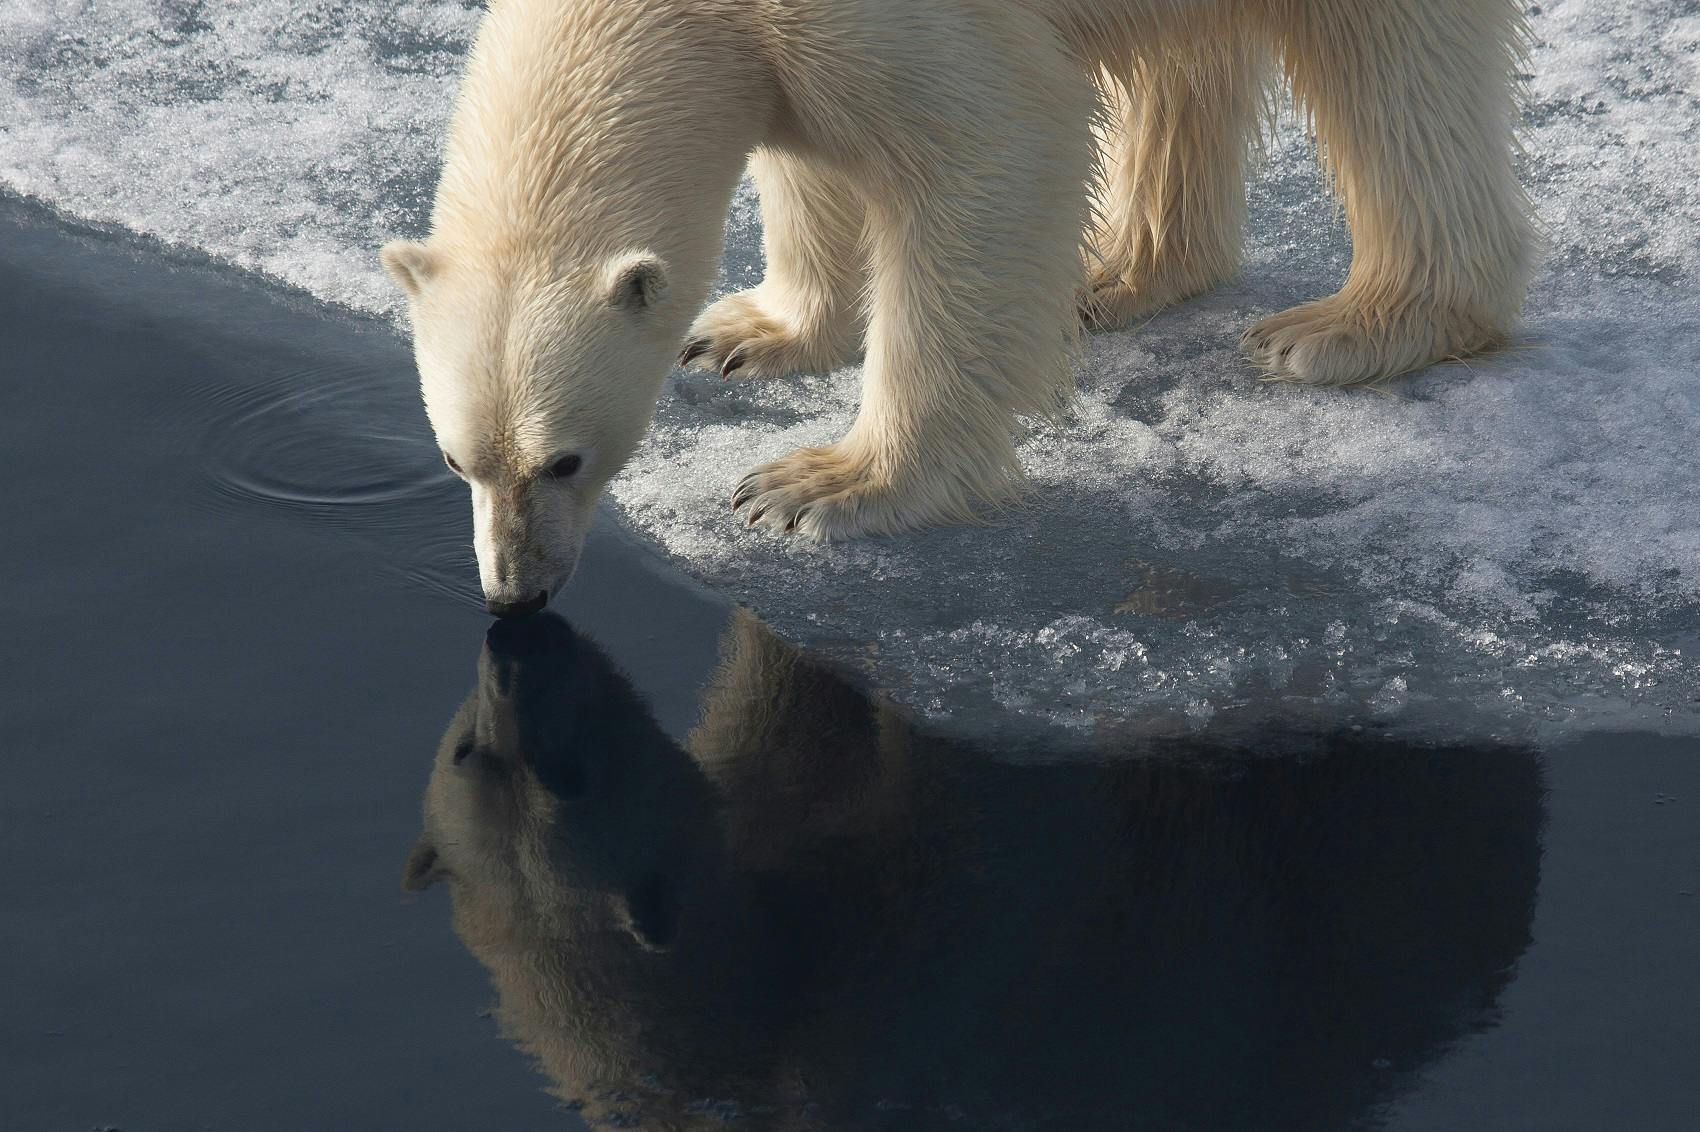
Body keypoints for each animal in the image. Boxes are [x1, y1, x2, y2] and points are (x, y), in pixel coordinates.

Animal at [381, 0, 1534, 611]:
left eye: (564, 460)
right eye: (456, 458)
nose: (513, 591)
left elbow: (993, 145)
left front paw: (820, 484)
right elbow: (805, 150)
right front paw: (751, 333)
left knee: (1393, 71)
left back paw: (1352, 326)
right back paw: (1115, 275)